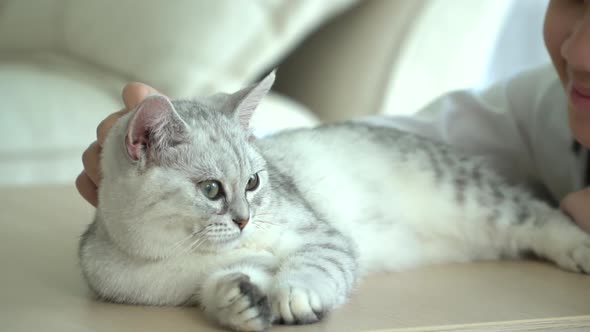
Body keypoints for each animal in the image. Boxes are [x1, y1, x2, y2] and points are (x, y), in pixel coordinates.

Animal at [81, 72, 590, 330]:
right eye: (211, 190)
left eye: (253, 182)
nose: (245, 220)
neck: (175, 255)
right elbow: (222, 284)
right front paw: (238, 300)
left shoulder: (323, 235)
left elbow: (314, 264)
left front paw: (295, 295)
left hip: (476, 197)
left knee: (541, 215)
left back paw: (579, 248)